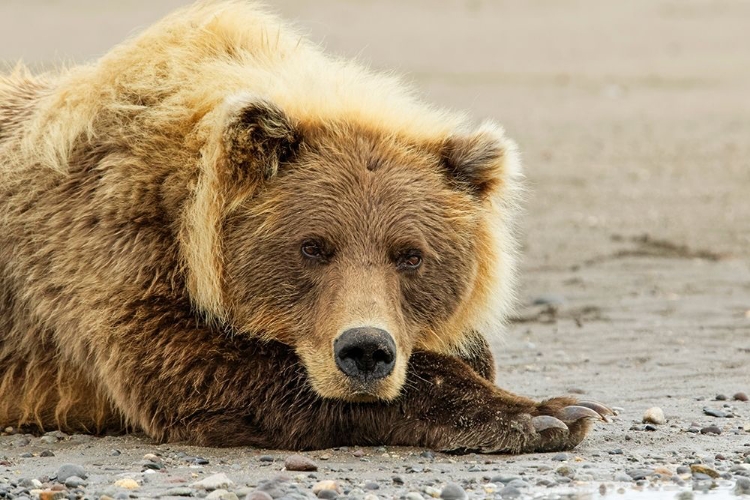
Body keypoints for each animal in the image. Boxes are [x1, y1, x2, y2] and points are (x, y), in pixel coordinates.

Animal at [0, 0, 612, 454]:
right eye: (313, 247)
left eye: (410, 254)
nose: (365, 351)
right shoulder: (110, 249)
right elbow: (193, 369)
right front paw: (548, 414)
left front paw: (557, 403)